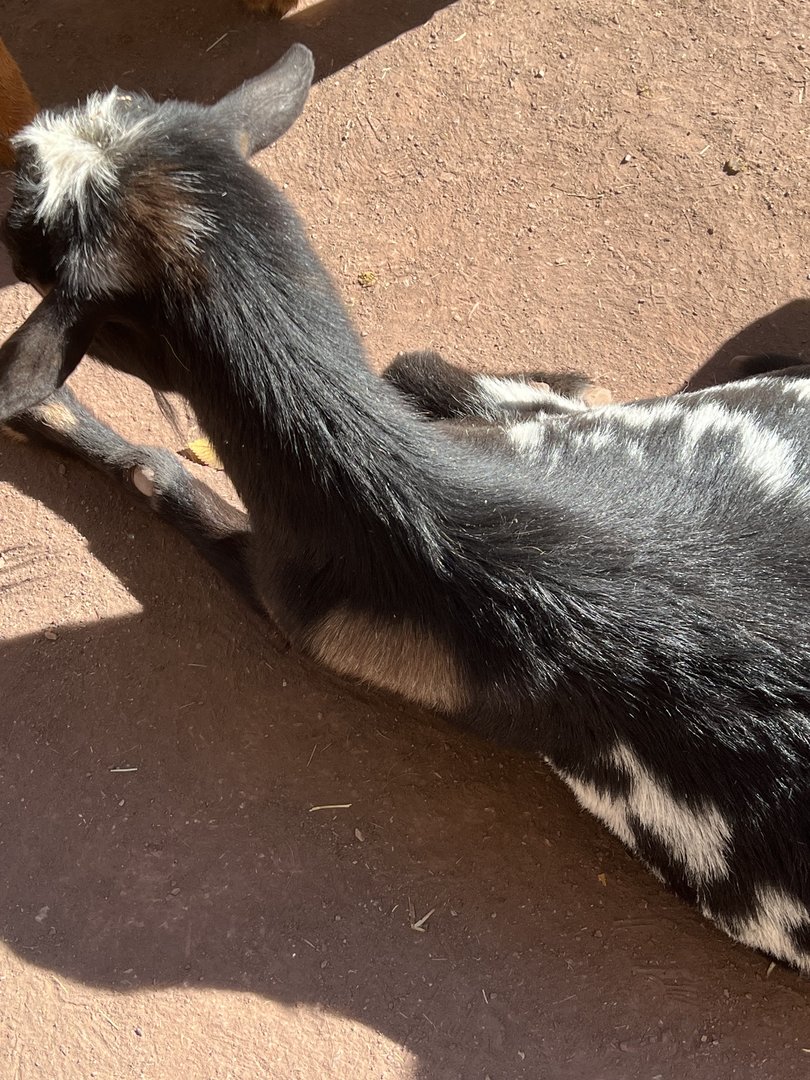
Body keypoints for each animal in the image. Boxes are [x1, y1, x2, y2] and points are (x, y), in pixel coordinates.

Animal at [2, 44, 810, 975]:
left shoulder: (298, 602)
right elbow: (467, 372)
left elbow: (161, 475)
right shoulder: (558, 415)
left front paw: (46, 417)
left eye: (19, 227)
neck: (406, 495)